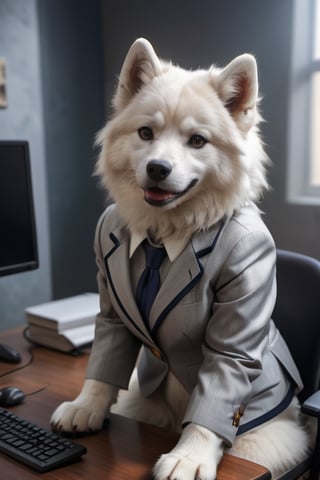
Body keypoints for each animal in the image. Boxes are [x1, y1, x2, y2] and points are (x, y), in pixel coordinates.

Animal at [51, 39, 314, 478]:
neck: (166, 233)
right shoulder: (111, 308)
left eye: (197, 141)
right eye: (145, 133)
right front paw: (86, 406)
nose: (158, 168)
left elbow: (218, 387)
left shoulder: (232, 339)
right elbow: (104, 362)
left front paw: (189, 455)